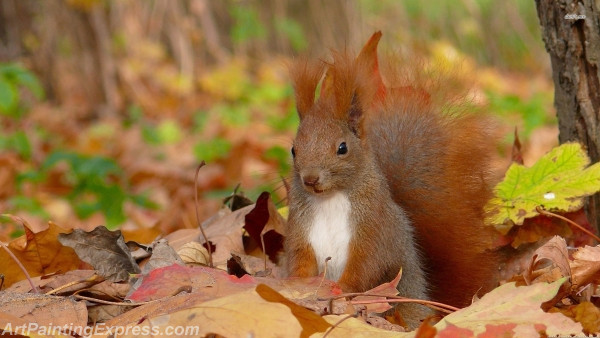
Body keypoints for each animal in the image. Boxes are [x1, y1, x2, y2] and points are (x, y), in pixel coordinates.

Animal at [284, 31, 500, 324]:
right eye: (294, 149)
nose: (310, 179)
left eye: (342, 148)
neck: (330, 199)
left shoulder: (374, 229)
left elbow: (366, 265)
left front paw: (341, 289)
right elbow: (300, 261)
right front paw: (297, 286)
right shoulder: (301, 230)